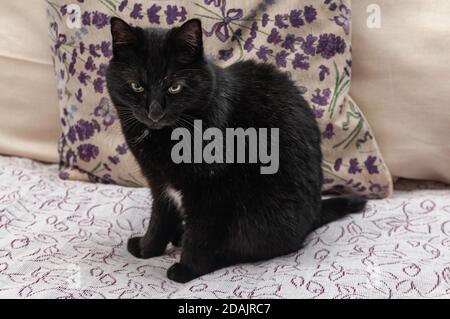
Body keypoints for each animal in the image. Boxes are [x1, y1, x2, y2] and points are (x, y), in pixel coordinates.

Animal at [107, 17, 368, 284]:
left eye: (174, 87)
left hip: (259, 218)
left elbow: (199, 233)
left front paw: (187, 269)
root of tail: (315, 214)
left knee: (250, 248)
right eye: (136, 86)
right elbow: (159, 218)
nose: (154, 112)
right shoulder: (159, 183)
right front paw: (147, 248)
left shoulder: (211, 191)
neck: (163, 138)